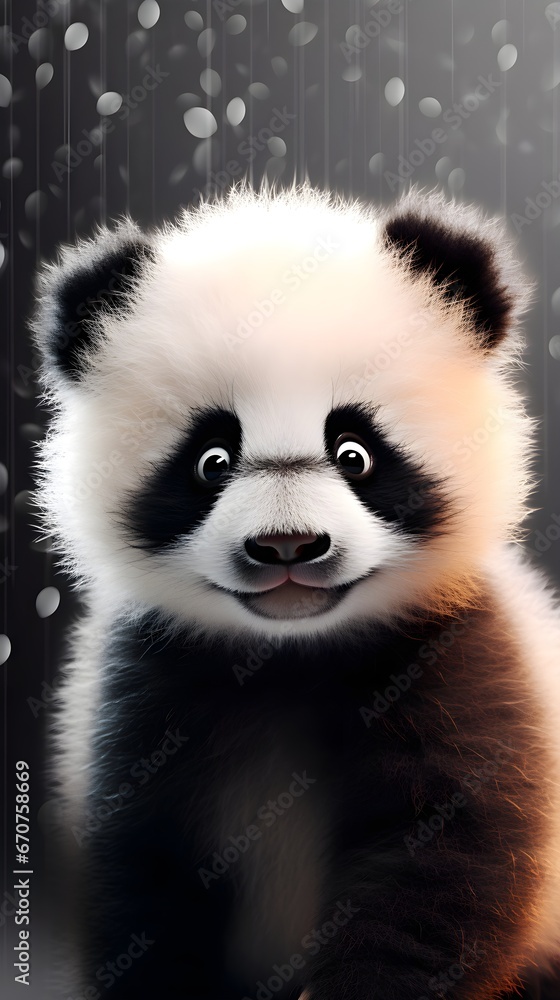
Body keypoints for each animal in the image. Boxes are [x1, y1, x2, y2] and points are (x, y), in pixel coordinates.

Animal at [32, 185, 560, 1000]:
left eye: (356, 452)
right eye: (212, 459)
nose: (288, 546)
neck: (290, 655)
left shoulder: (455, 658)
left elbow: (439, 864)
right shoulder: (147, 689)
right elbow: (147, 870)